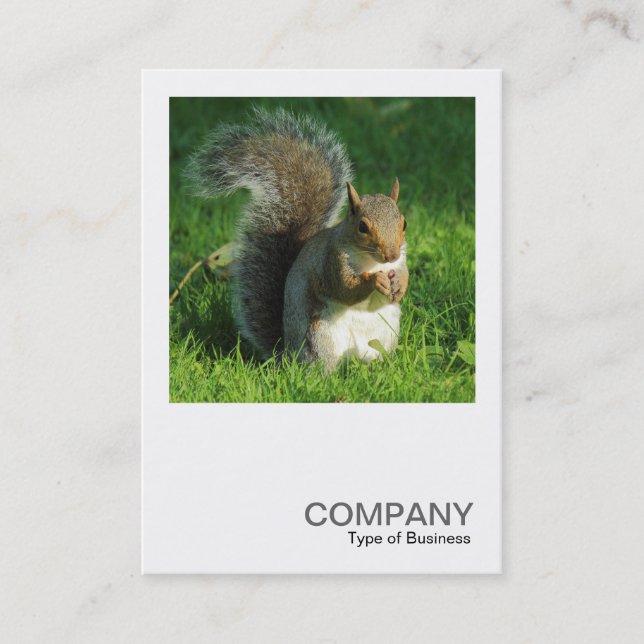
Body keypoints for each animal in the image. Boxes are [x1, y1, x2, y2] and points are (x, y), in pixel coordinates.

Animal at [185, 107, 409, 371]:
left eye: (404, 223)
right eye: (362, 226)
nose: (391, 254)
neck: (372, 261)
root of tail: (288, 355)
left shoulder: (401, 258)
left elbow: (404, 273)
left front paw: (400, 284)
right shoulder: (331, 262)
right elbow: (345, 289)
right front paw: (376, 281)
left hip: (385, 334)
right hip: (320, 336)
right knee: (322, 368)